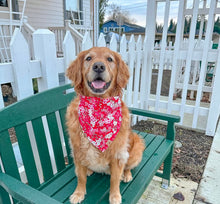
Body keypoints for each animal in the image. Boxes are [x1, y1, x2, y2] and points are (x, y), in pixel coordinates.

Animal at [66, 46, 145, 204]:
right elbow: (80, 177)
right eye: (88, 58)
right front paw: (78, 193)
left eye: (110, 59)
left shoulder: (117, 154)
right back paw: (89, 169)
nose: (98, 66)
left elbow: (114, 179)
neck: (98, 106)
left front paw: (115, 196)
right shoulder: (77, 151)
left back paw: (126, 175)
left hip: (137, 145)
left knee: (128, 167)